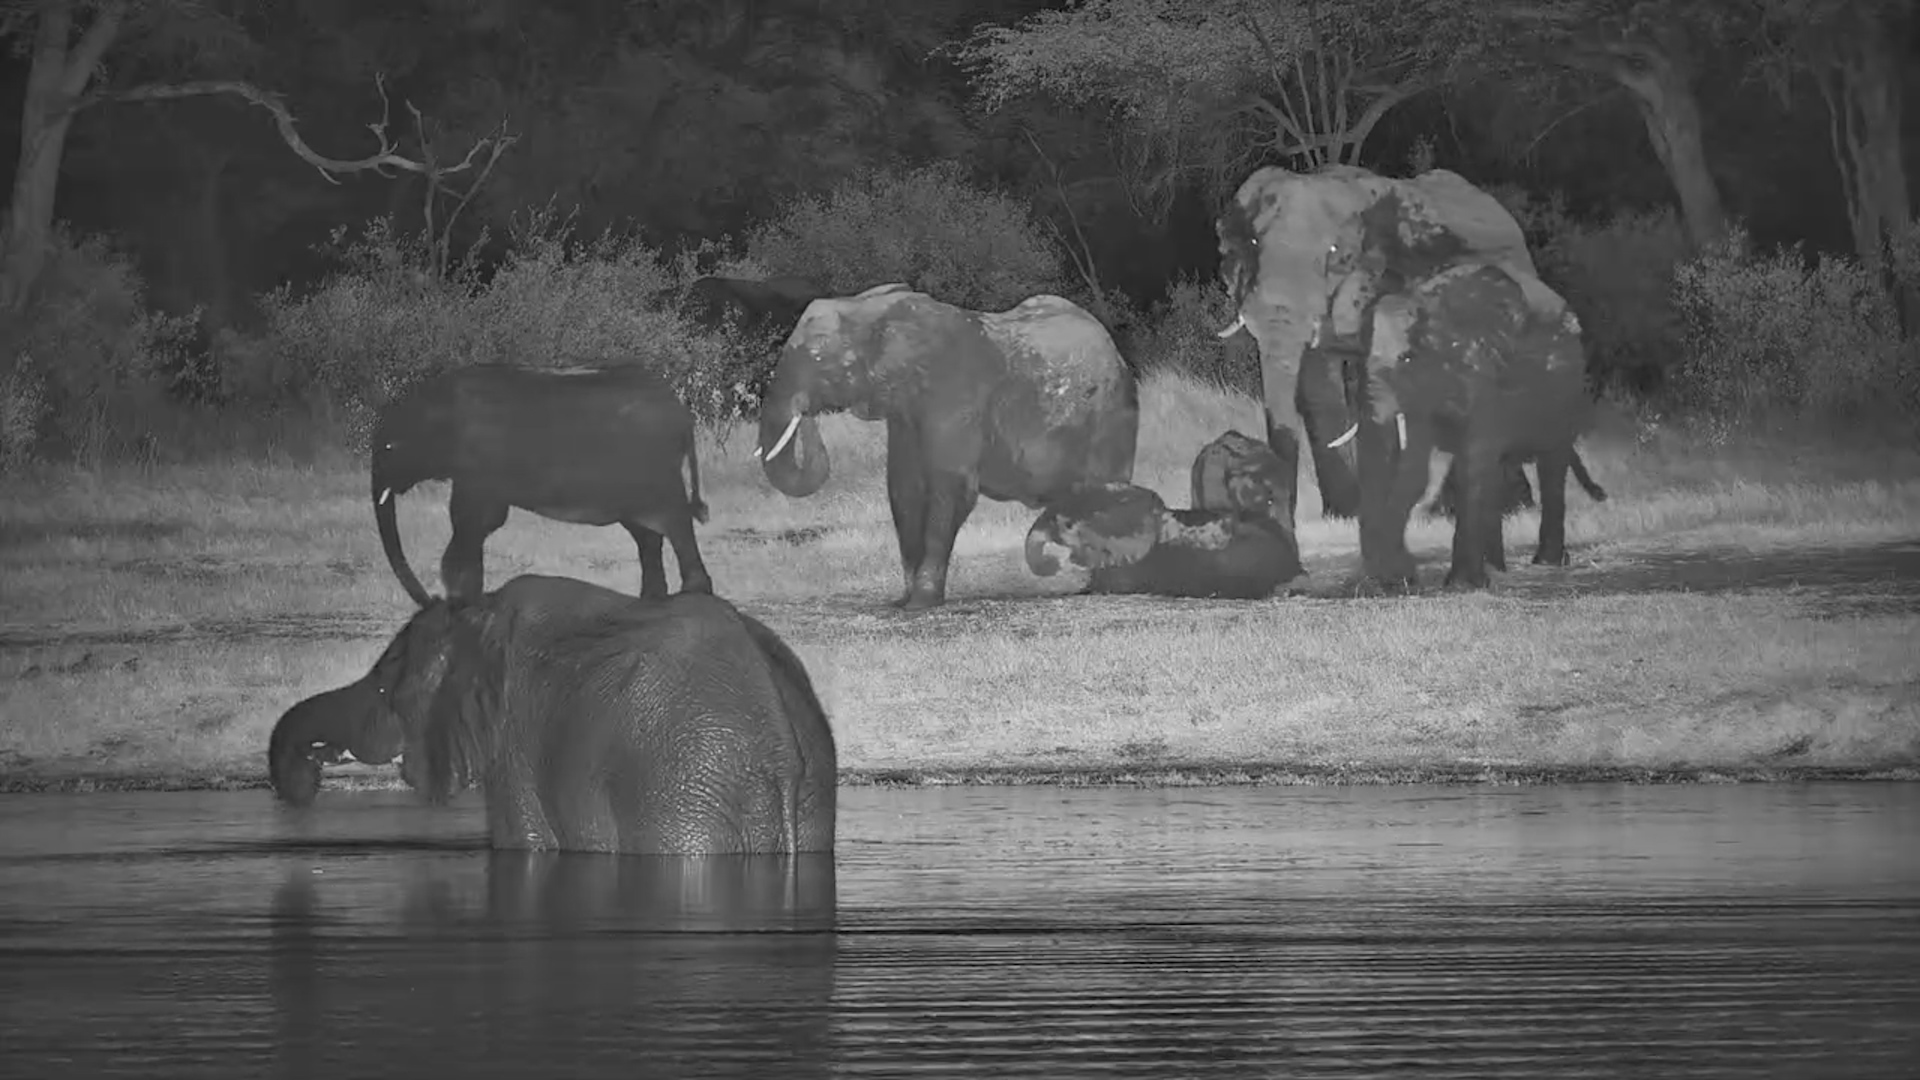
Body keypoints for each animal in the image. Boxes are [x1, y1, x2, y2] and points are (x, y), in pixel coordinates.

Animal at [270, 574, 838, 855]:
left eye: (390, 687)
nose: (307, 781)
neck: (476, 613)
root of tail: (782, 748)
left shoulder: (512, 736)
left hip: (682, 784)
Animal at [372, 362, 712, 607]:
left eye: (389, 448)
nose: (430, 600)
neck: (433, 400)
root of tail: (683, 414)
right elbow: (477, 525)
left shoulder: (480, 465)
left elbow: (474, 521)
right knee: (647, 538)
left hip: (657, 473)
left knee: (676, 525)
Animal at [755, 283, 1141, 610]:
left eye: (818, 356)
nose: (806, 413)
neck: (874, 309)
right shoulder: (905, 412)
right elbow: (904, 490)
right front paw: (903, 602)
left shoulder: (954, 397)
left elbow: (950, 488)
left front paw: (922, 603)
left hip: (1111, 415)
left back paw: (1108, 587)